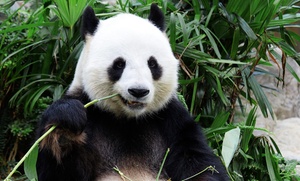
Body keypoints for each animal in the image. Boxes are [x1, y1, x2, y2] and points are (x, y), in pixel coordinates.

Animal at [36, 3, 227, 181]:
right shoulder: (90, 111)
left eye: (152, 64)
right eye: (119, 64)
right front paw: (66, 126)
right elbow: (59, 171)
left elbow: (200, 164)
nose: (138, 91)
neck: (129, 120)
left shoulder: (172, 120)